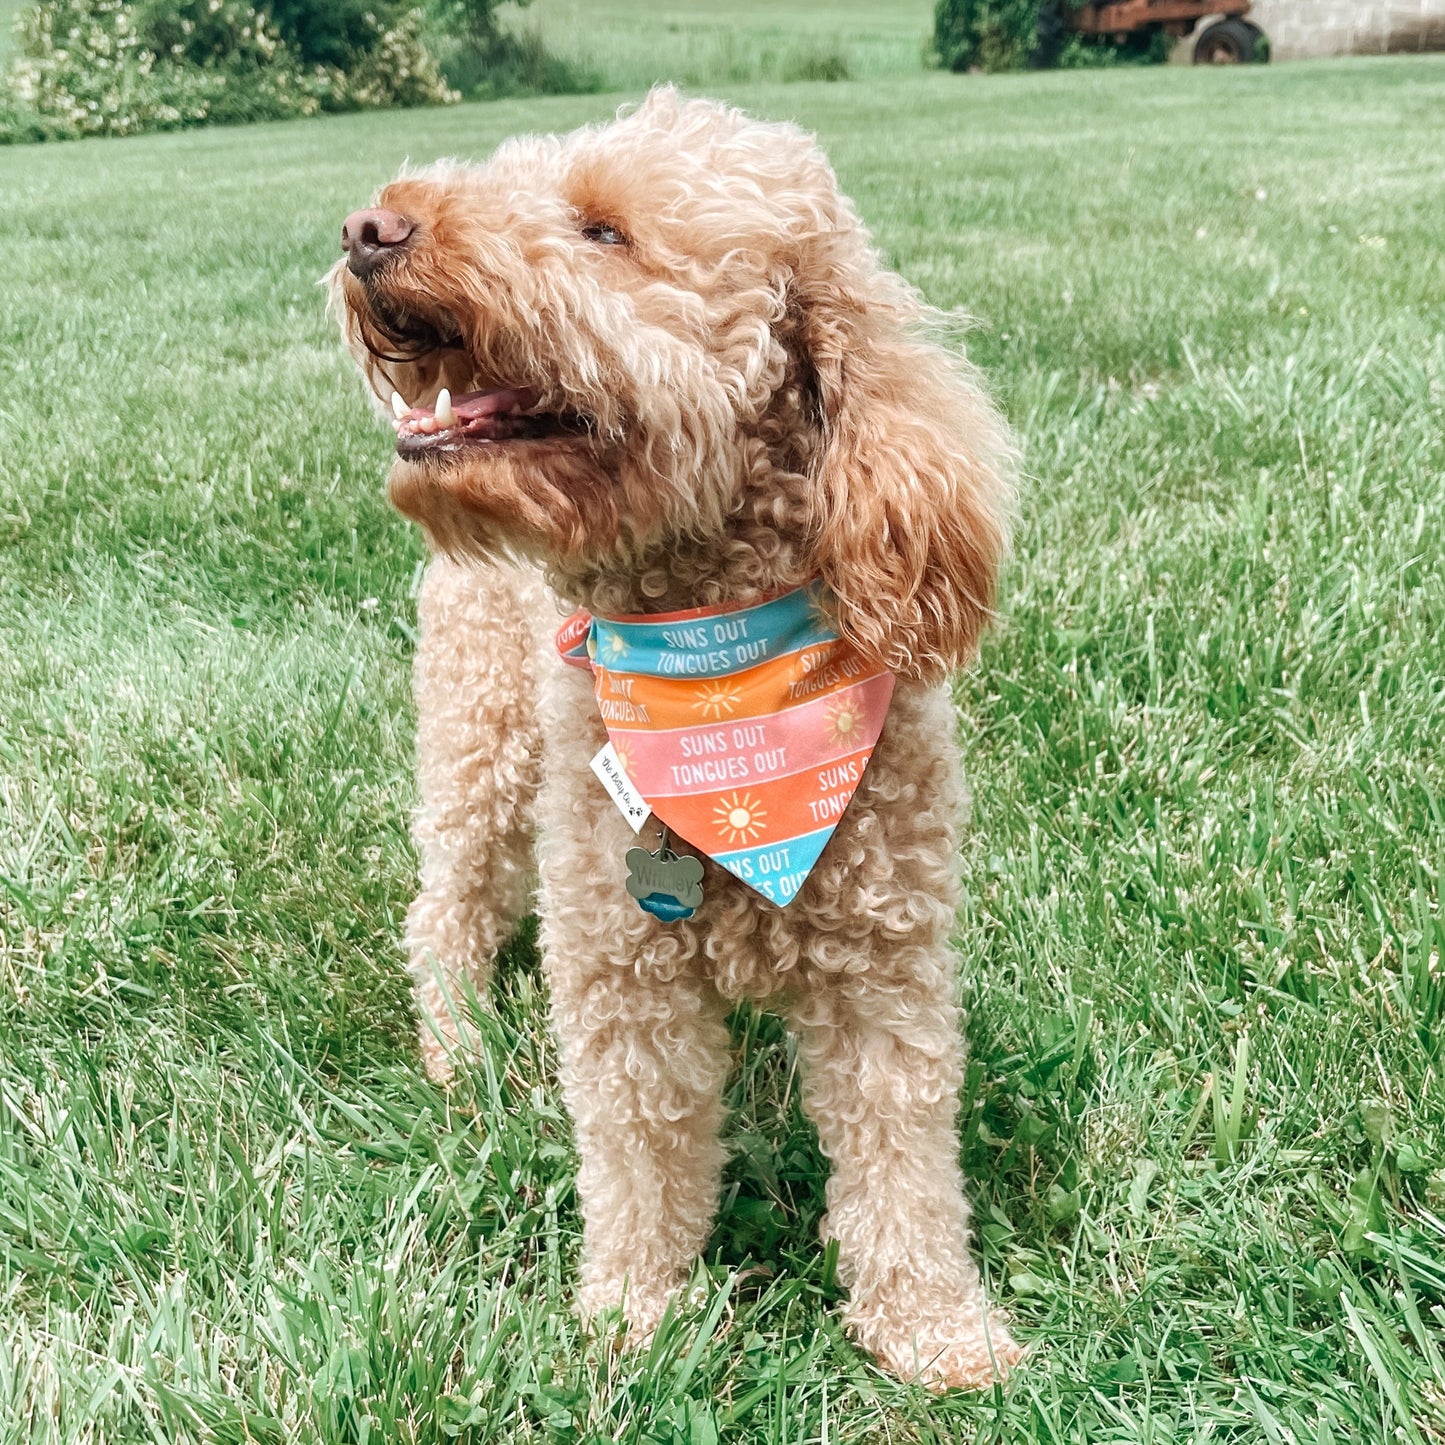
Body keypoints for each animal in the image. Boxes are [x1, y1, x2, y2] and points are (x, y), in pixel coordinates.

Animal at [332, 87, 1023, 1387]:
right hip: (480, 740)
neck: (711, 664)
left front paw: (935, 1331)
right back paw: (460, 1052)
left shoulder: (886, 966)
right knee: (445, 907)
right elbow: (640, 1151)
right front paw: (634, 1316)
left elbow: (900, 1158)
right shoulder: (622, 971)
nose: (370, 227)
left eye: (603, 230)